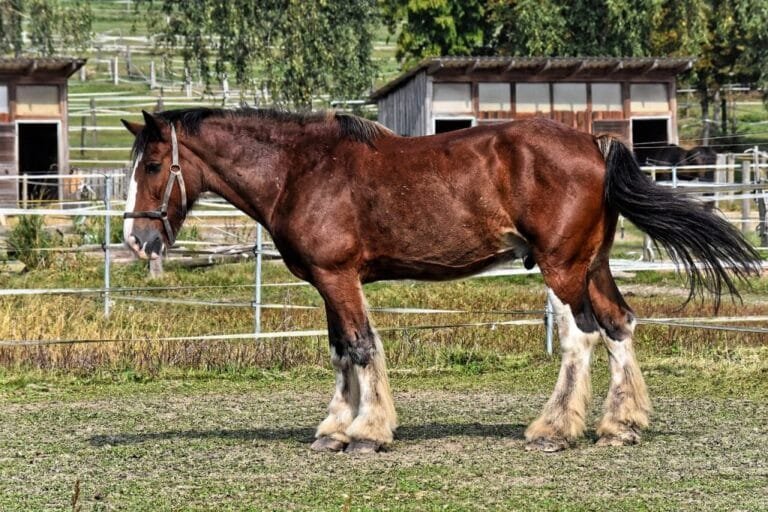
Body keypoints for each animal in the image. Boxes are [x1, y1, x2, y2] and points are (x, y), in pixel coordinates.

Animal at [121, 108, 760, 453]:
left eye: (152, 165)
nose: (136, 239)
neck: (300, 171)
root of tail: (592, 142)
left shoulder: (338, 278)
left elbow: (361, 347)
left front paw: (368, 432)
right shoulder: (327, 282)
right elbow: (339, 351)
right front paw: (334, 428)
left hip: (562, 268)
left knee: (581, 338)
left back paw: (554, 429)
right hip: (593, 263)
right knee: (619, 325)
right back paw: (619, 426)